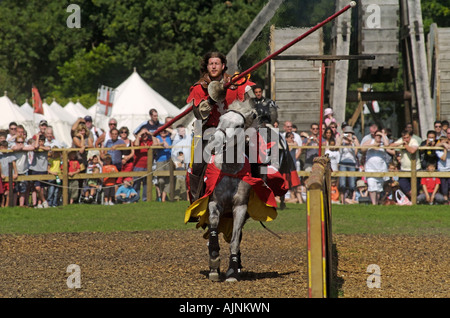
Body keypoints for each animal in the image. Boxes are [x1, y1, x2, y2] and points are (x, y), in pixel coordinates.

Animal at [203, 99, 258, 280]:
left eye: (239, 125)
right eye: (220, 120)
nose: (216, 142)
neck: (230, 168)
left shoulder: (240, 207)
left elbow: (235, 240)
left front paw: (233, 269)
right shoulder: (214, 202)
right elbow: (213, 225)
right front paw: (214, 258)